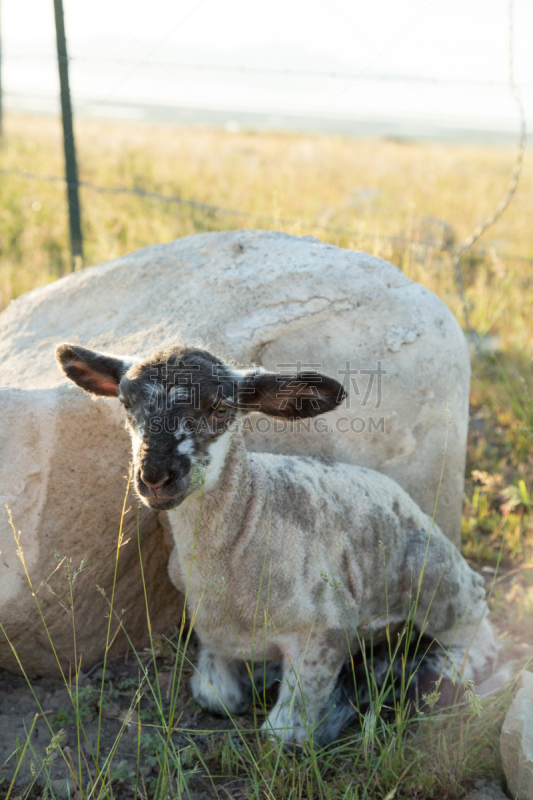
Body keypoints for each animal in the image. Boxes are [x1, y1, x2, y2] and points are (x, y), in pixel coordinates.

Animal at [56, 340, 496, 748]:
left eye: (220, 409)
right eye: (127, 404)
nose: (154, 477)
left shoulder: (325, 630)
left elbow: (284, 734)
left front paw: (338, 705)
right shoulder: (211, 632)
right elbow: (215, 696)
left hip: (436, 578)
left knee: (476, 629)